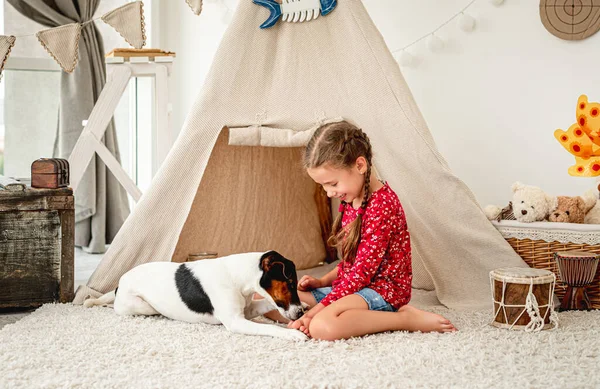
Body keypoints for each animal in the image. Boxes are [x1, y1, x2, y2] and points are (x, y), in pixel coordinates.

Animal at [83, 252, 310, 340]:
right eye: (290, 283)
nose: (299, 313)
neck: (237, 275)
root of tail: (120, 283)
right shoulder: (236, 322)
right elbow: (270, 328)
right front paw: (293, 334)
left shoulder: (247, 310)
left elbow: (266, 304)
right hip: (143, 307)